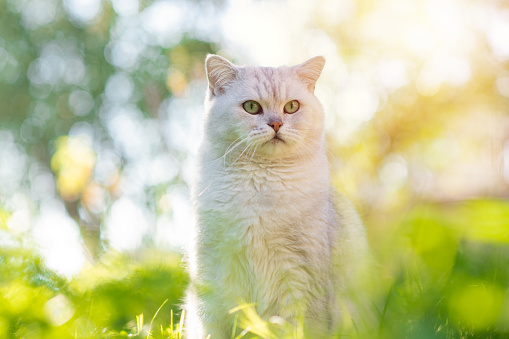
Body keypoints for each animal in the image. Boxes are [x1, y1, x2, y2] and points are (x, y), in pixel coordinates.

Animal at [185, 54, 372, 338]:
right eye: (251, 107)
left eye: (291, 107)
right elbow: (214, 326)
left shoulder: (298, 276)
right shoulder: (215, 273)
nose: (276, 124)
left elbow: (298, 326)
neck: (261, 186)